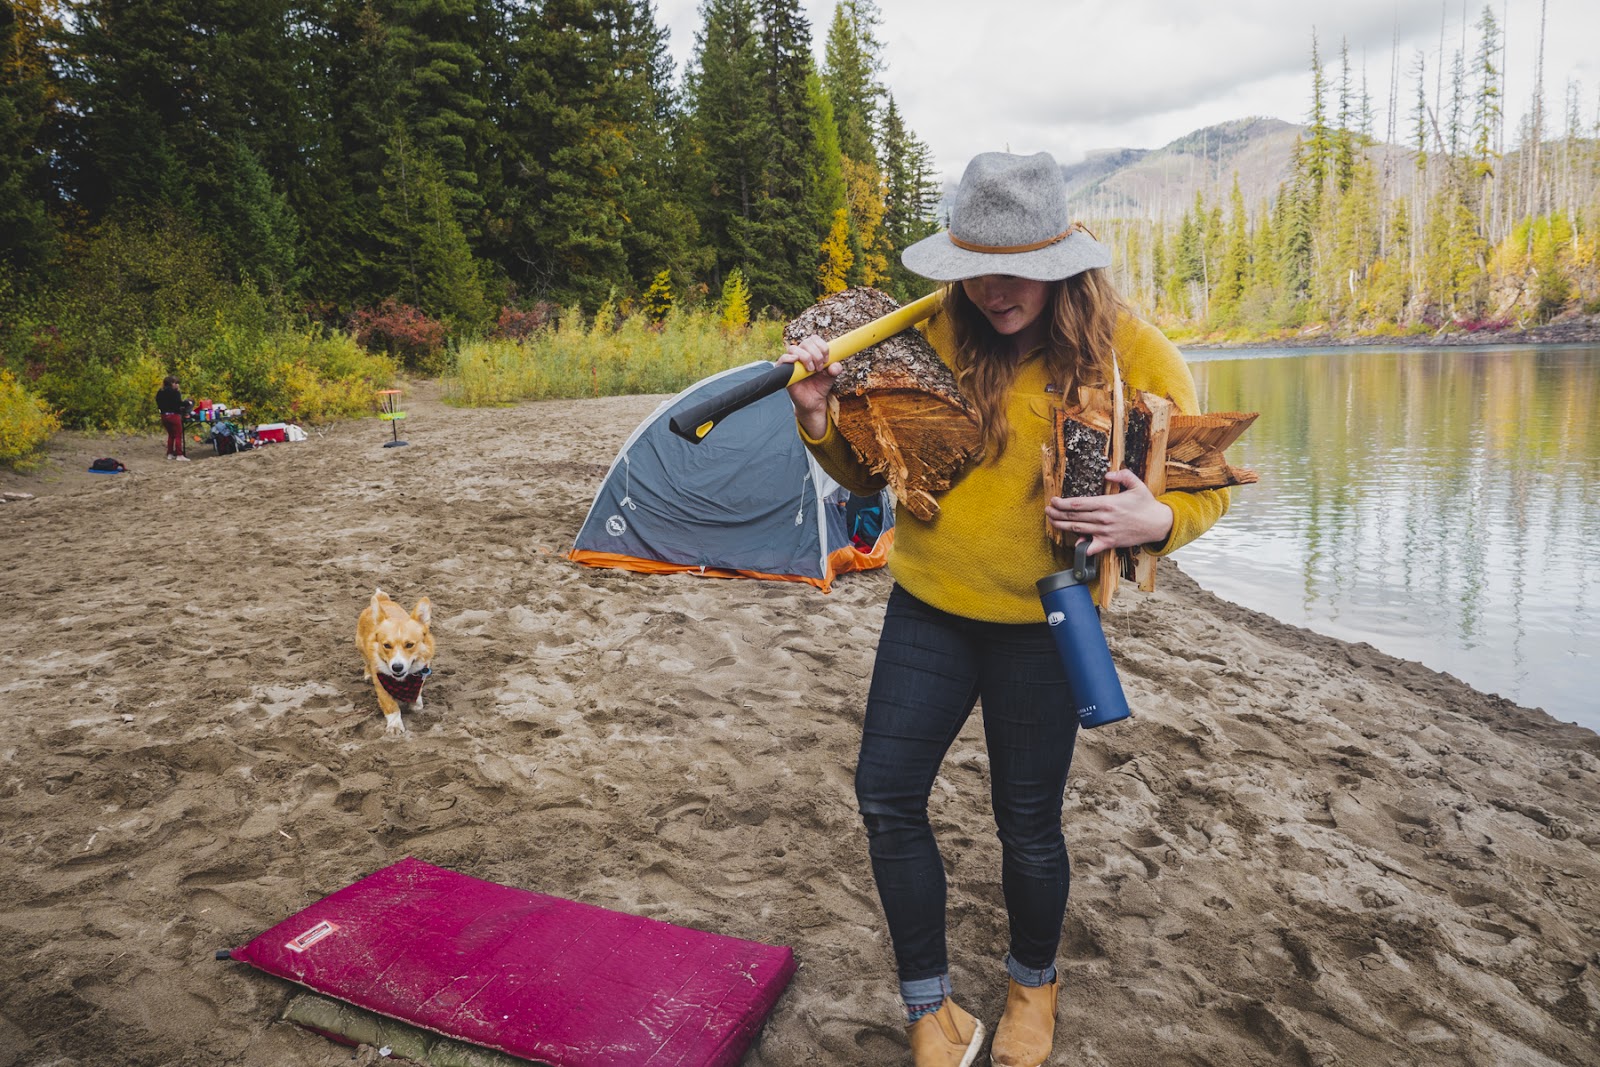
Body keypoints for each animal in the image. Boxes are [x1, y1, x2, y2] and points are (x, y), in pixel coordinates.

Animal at [355, 591, 435, 735]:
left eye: (409, 645)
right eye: (386, 645)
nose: (397, 667)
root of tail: (383, 599)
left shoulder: (422, 672)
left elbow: (418, 693)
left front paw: (416, 704)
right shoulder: (380, 683)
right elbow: (391, 706)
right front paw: (395, 725)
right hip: (360, 646)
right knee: (366, 661)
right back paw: (367, 673)